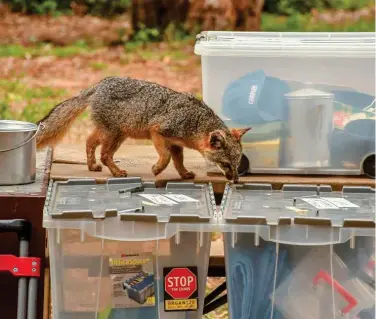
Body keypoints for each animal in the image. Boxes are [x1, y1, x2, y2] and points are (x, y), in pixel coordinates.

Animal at [36, 77, 251, 181]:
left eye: (237, 164)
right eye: (226, 164)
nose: (236, 181)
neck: (194, 121)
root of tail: (100, 83)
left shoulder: (176, 143)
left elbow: (178, 161)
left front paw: (184, 174)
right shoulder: (158, 132)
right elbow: (165, 157)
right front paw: (156, 169)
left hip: (113, 132)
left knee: (90, 141)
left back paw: (92, 166)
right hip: (114, 135)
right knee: (105, 155)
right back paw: (116, 172)